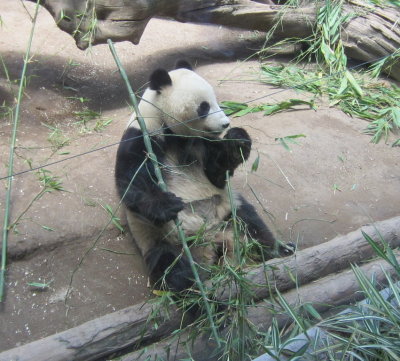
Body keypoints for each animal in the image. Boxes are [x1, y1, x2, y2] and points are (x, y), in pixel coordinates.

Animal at [114, 60, 292, 292]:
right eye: (204, 106)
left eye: (216, 100)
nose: (225, 123)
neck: (172, 133)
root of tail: (212, 240)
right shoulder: (142, 139)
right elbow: (131, 183)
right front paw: (167, 204)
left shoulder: (203, 144)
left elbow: (217, 175)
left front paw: (237, 140)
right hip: (161, 237)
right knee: (170, 265)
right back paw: (194, 290)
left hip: (228, 210)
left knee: (253, 225)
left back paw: (280, 250)